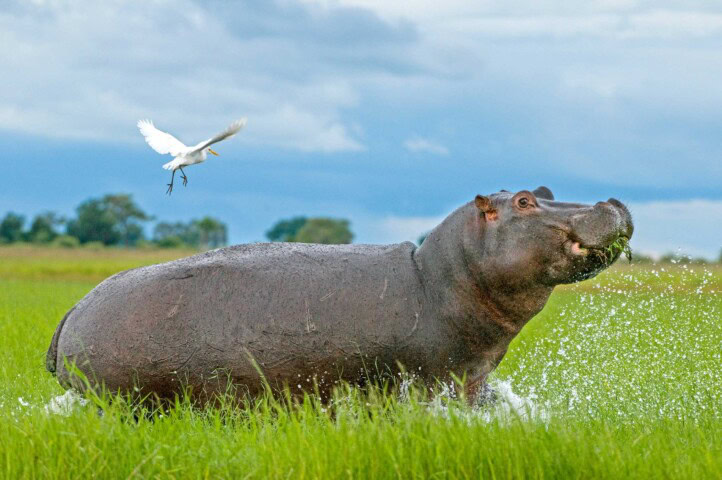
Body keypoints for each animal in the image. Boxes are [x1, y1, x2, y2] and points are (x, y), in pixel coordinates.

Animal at [46, 187, 633, 404]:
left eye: (548, 192)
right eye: (525, 201)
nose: (612, 200)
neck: (438, 275)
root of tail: (71, 309)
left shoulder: (471, 379)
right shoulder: (428, 380)